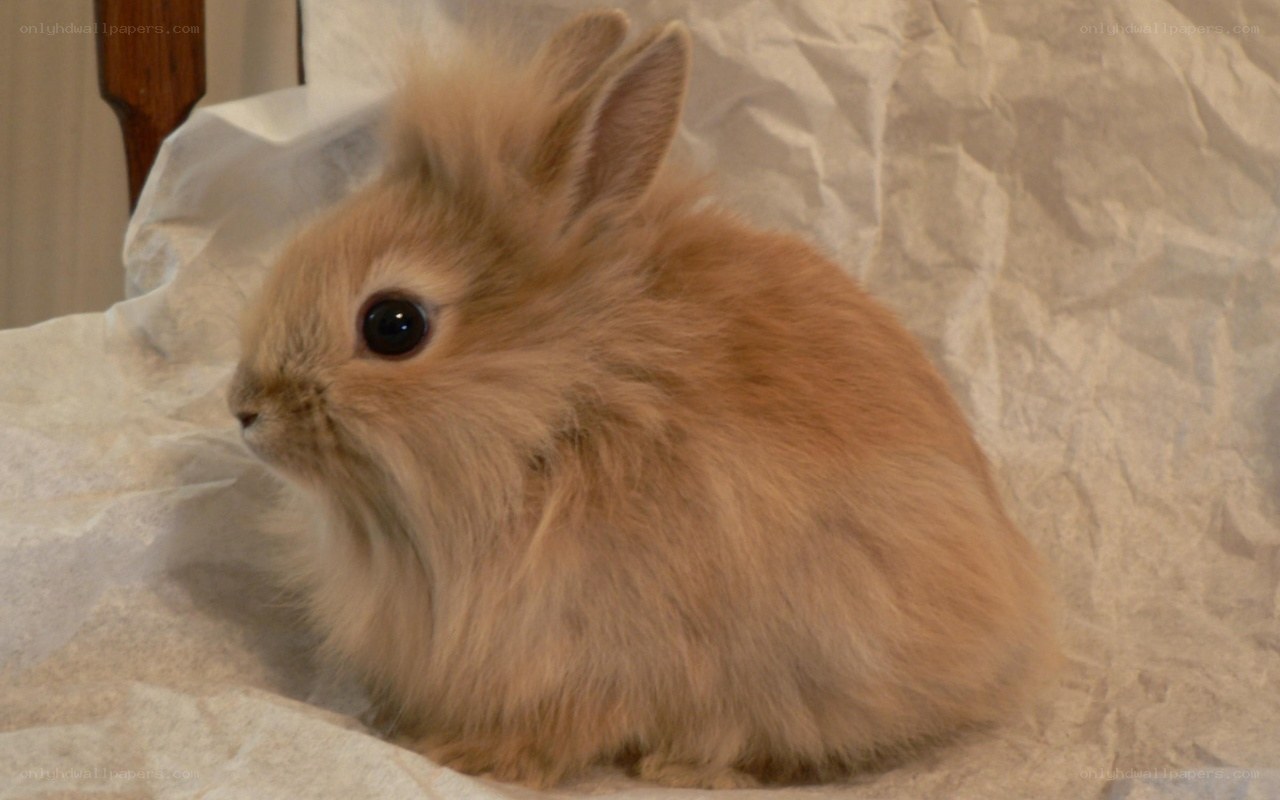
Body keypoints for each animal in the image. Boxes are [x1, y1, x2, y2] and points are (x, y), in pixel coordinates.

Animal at [227, 8, 1057, 790]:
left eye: (393, 325)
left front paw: (471, 754)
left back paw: (690, 768)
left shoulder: (588, 649)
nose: (243, 408)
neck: (554, 412)